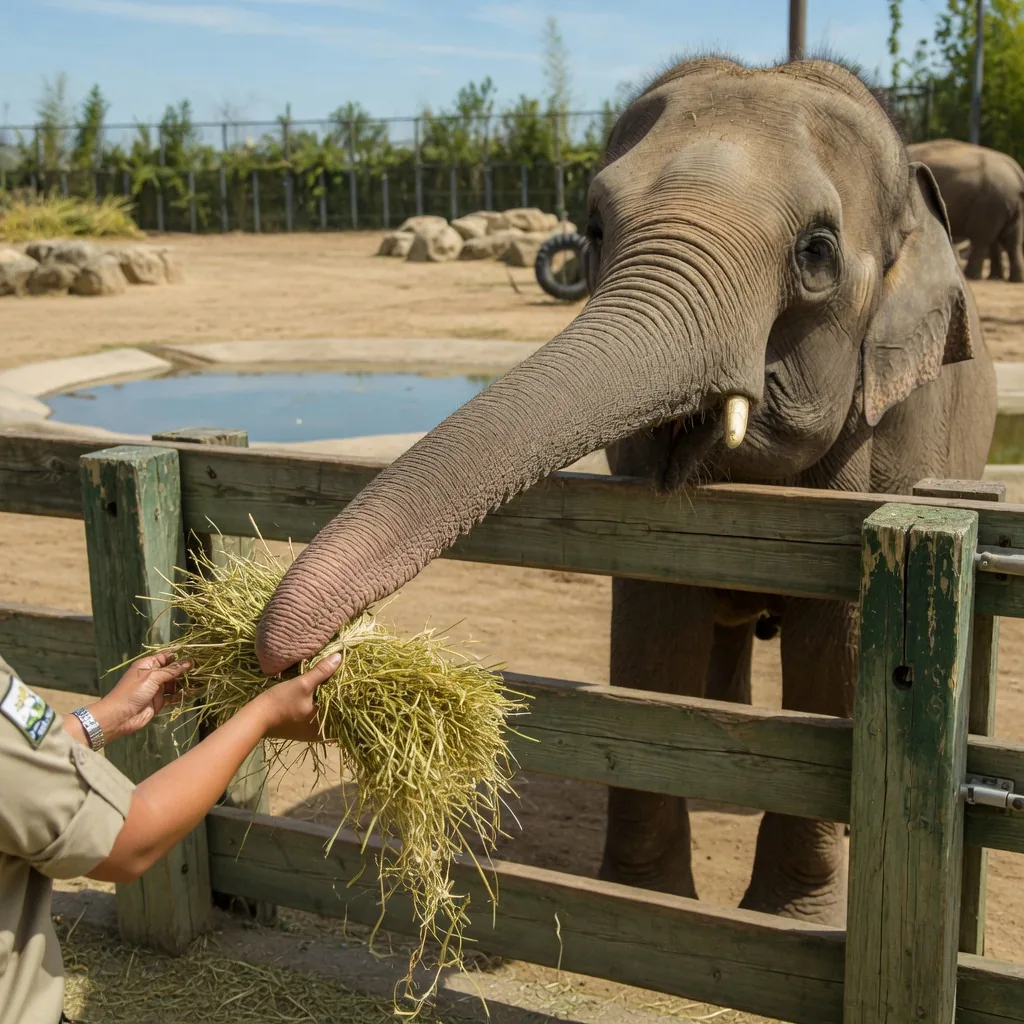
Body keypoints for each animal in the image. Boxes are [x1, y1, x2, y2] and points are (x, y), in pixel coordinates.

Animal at [255, 58, 998, 924]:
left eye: (817, 251)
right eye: (596, 229)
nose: (289, 656)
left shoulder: (896, 435)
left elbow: (834, 662)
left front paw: (786, 920)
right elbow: (652, 638)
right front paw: (646, 898)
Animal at [907, 138, 1024, 282]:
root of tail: (1017, 172)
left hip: (989, 202)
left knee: (982, 239)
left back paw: (973, 276)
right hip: (1006, 204)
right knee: (1008, 240)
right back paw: (1003, 278)